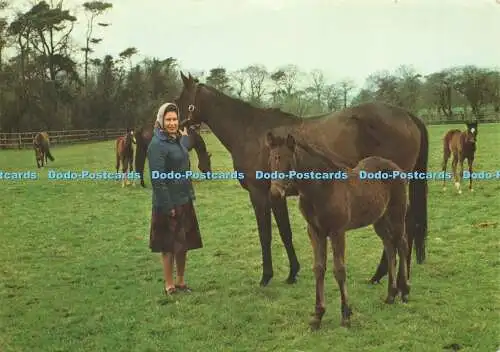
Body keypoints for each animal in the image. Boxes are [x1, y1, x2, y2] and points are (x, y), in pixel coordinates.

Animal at [174, 72, 428, 288]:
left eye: (180, 99)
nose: (173, 125)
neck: (250, 132)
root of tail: (407, 115)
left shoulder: (259, 194)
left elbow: (266, 235)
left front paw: (266, 277)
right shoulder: (276, 195)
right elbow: (285, 233)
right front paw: (292, 272)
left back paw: (382, 275)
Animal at [266, 130, 410, 330]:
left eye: (289, 162)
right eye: (271, 160)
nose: (275, 194)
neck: (321, 190)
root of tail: (396, 167)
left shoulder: (337, 231)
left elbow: (339, 270)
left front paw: (346, 315)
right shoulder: (315, 231)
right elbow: (319, 268)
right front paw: (317, 316)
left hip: (397, 214)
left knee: (402, 244)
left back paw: (405, 291)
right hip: (379, 220)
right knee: (390, 247)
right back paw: (391, 294)